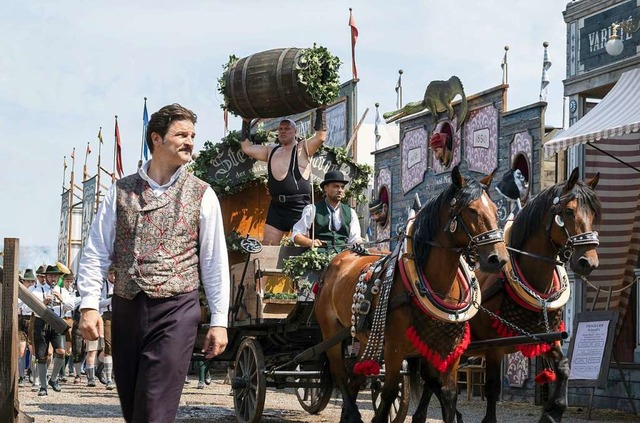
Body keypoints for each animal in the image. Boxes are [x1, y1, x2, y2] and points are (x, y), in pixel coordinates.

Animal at [316, 166, 510, 423]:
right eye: (471, 210)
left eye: (496, 210)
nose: (499, 259)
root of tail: (337, 259)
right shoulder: (394, 348)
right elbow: (389, 393)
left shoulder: (449, 350)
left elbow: (448, 395)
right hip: (332, 333)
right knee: (340, 375)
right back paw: (354, 413)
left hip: (366, 339)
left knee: (355, 378)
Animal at [412, 167, 604, 422]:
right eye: (569, 211)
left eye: (593, 213)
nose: (588, 262)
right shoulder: (494, 347)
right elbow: (492, 388)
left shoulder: (547, 336)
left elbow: (563, 367)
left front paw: (554, 410)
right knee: (431, 378)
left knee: (431, 380)